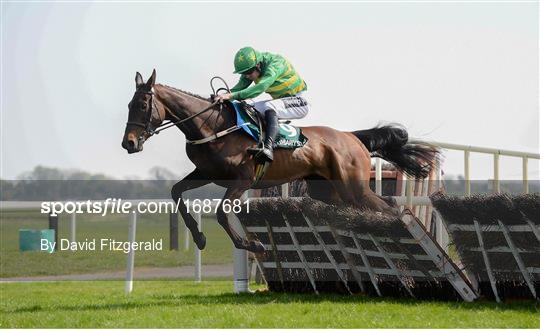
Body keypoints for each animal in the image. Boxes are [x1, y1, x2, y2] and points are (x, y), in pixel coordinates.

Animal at [121, 68, 438, 251]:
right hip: (328, 191)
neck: (213, 126)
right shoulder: (206, 173)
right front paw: (199, 237)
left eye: (143, 104)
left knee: (388, 207)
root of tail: (351, 137)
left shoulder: (242, 179)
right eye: (129, 104)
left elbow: (222, 213)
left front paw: (251, 245)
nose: (129, 143)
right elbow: (176, 192)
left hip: (353, 187)